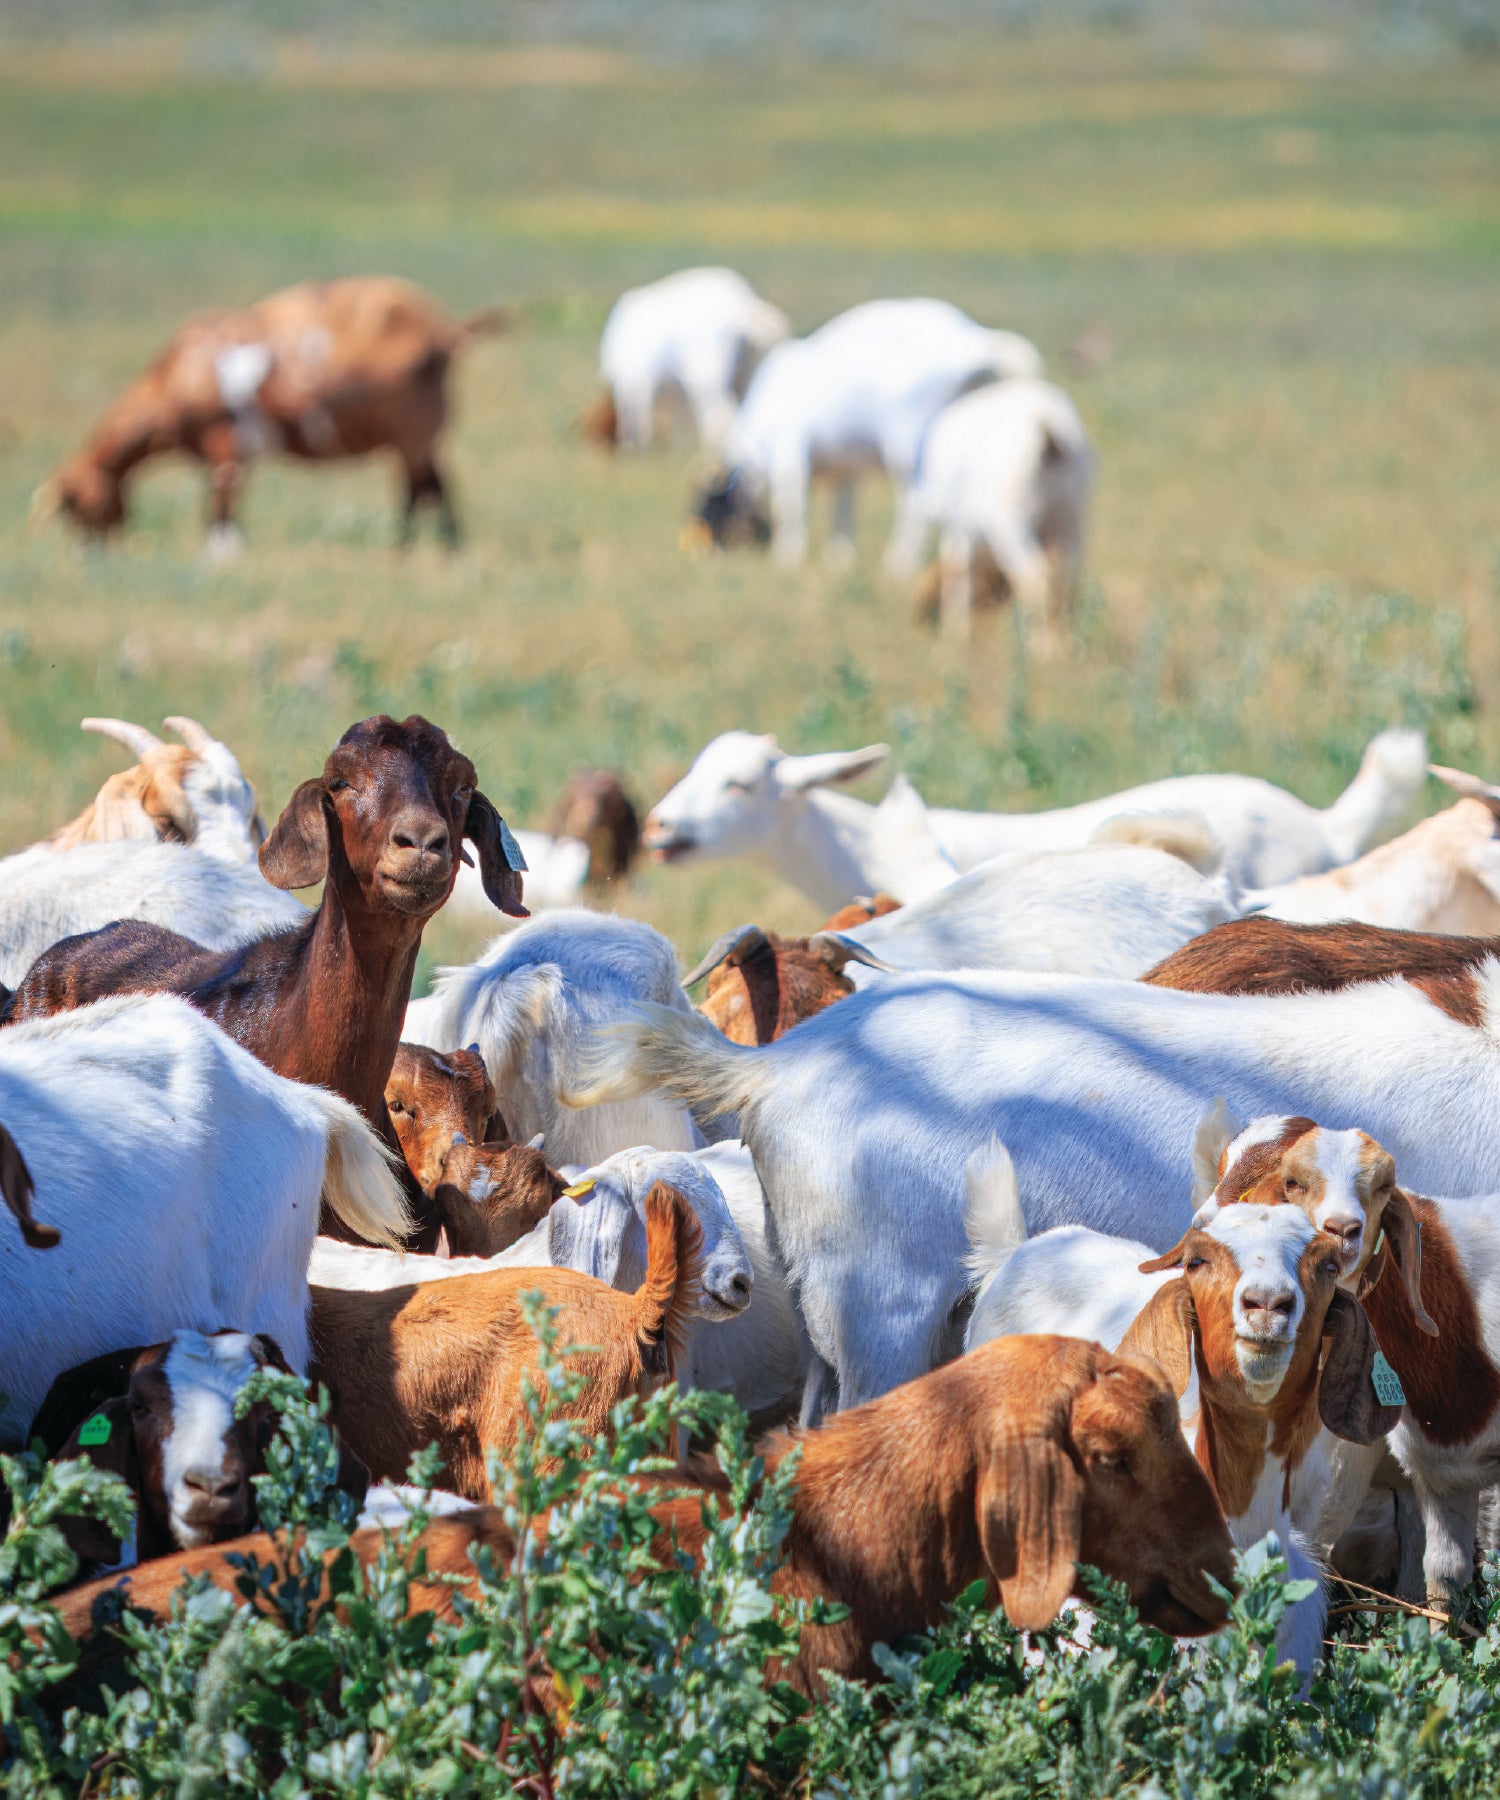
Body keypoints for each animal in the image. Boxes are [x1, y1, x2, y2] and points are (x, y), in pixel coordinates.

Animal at [35, 277, 506, 553]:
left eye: (75, 507)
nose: (92, 551)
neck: (178, 375)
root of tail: (442, 328)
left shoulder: (226, 443)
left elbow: (222, 506)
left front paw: (224, 554)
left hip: (415, 429)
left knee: (425, 488)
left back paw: (413, 546)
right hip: (418, 434)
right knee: (429, 485)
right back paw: (435, 547)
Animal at [591, 267, 790, 453]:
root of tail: (741, 305)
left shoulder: (636, 378)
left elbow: (634, 414)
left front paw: (634, 444)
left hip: (705, 375)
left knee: (722, 416)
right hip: (737, 376)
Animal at [690, 299, 1041, 569]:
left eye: (710, 506)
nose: (707, 554)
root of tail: (975, 341)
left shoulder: (791, 452)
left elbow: (790, 506)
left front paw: (788, 557)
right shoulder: (844, 468)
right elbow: (843, 512)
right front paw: (840, 560)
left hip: (908, 442)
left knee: (917, 502)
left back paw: (899, 563)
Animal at [909, 377, 1094, 651]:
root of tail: (1048, 437)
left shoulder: (958, 529)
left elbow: (957, 573)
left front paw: (956, 636)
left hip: (1011, 523)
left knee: (1034, 576)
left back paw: (1040, 646)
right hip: (1071, 518)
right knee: (1065, 578)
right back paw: (1064, 643)